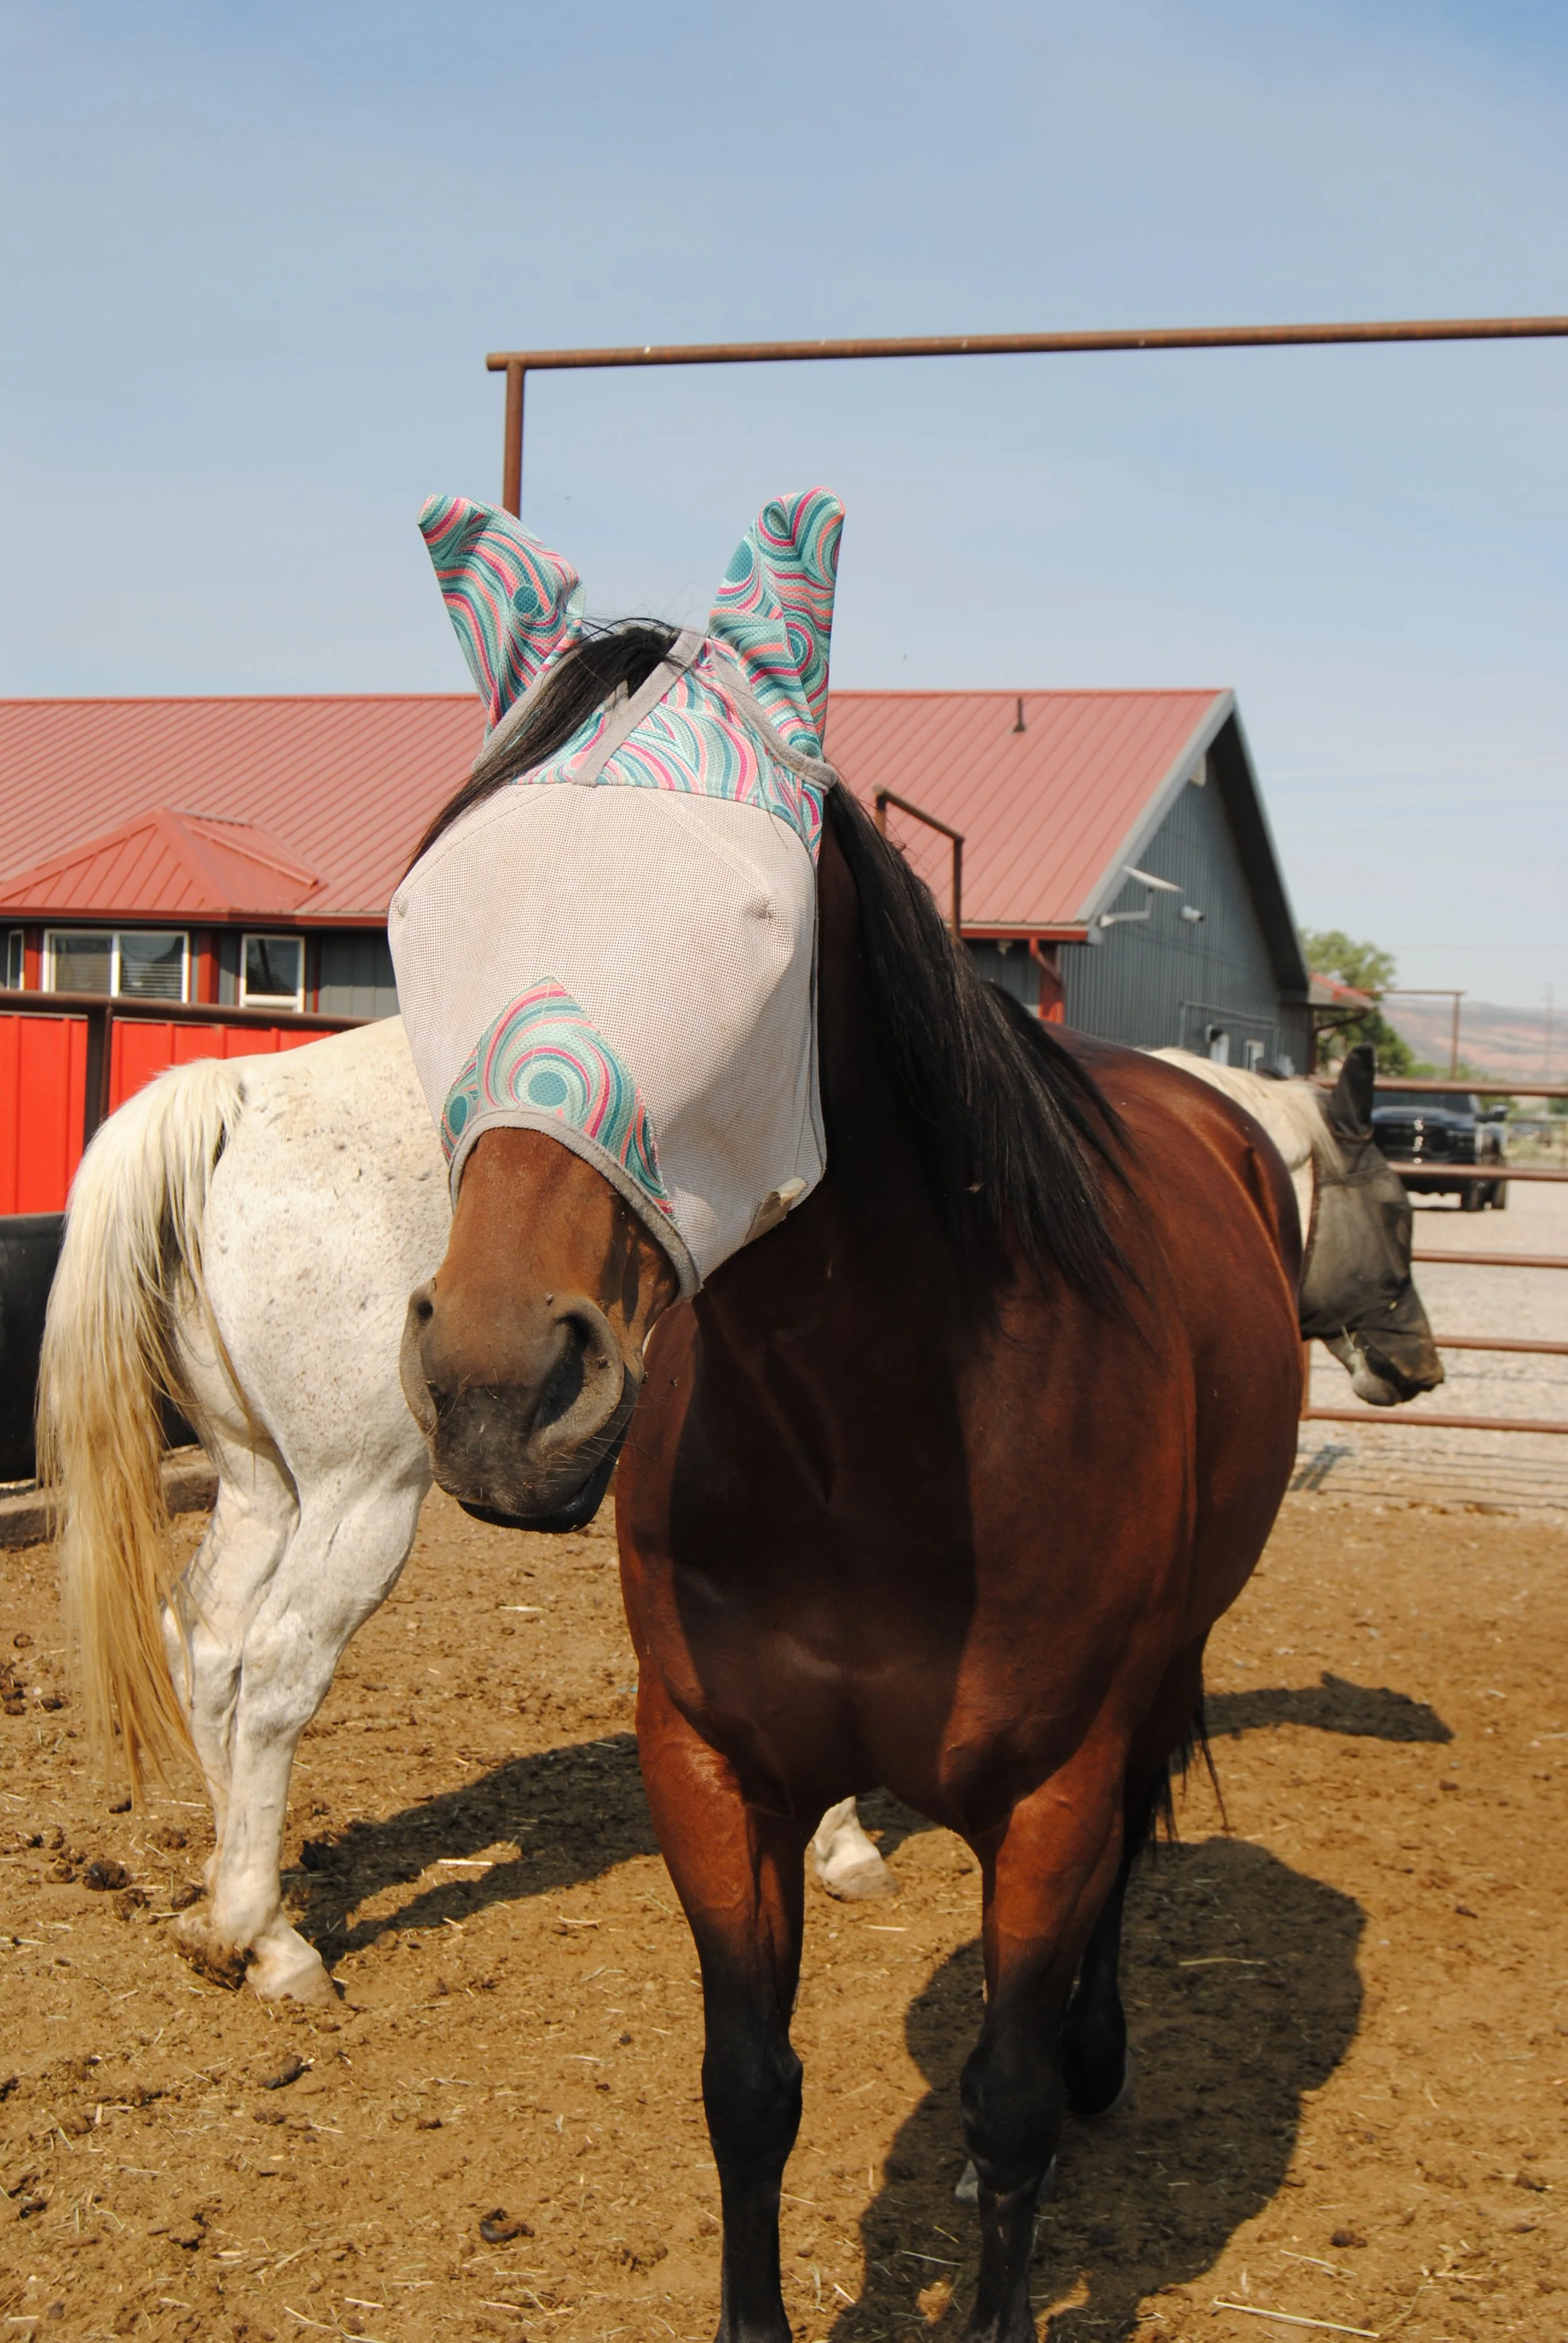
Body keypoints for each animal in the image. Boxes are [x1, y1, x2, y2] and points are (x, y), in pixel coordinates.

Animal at [384, 483, 1378, 2342]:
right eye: (424, 920)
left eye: (759, 928)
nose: (498, 1386)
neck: (871, 1444)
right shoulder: (711, 1770)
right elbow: (748, 2085)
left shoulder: (1046, 1790)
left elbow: (1003, 2106)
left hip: (1161, 1666)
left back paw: (1101, 2045)